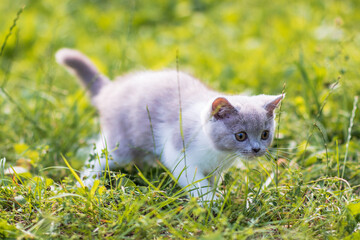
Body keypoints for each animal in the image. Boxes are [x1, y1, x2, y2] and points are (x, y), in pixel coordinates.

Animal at [55, 48, 284, 202]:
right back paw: (85, 183)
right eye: (240, 135)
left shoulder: (216, 169)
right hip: (119, 144)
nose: (257, 149)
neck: (220, 154)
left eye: (265, 134)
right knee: (96, 157)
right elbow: (196, 182)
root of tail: (110, 90)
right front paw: (210, 201)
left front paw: (216, 194)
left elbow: (212, 180)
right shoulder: (178, 154)